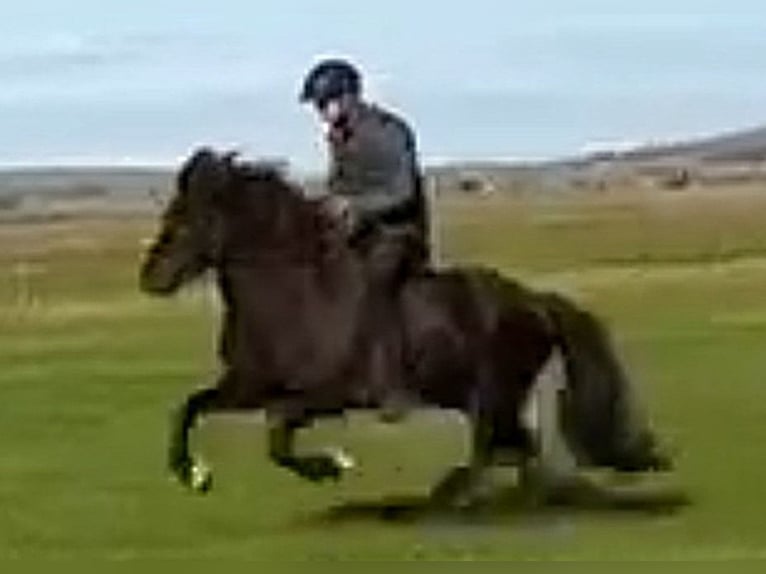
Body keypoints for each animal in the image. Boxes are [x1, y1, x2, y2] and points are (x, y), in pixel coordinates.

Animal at [139, 148, 670, 503]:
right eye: (170, 212)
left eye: (187, 219)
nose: (151, 278)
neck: (295, 297)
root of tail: (534, 300)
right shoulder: (248, 386)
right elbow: (191, 409)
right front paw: (193, 474)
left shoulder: (328, 396)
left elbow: (276, 432)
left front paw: (332, 465)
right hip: (477, 394)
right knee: (515, 451)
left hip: (491, 393)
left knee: (496, 450)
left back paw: (457, 494)